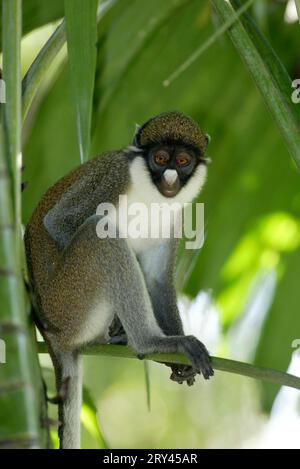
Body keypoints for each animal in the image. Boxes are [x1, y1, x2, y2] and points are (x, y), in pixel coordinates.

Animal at [25, 109, 213, 446]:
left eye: (182, 161)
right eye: (160, 158)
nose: (170, 179)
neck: (151, 194)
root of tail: (53, 339)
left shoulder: (177, 215)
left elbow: (156, 278)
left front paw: (178, 362)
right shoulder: (112, 177)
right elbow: (58, 222)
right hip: (68, 302)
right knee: (100, 235)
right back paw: (149, 342)